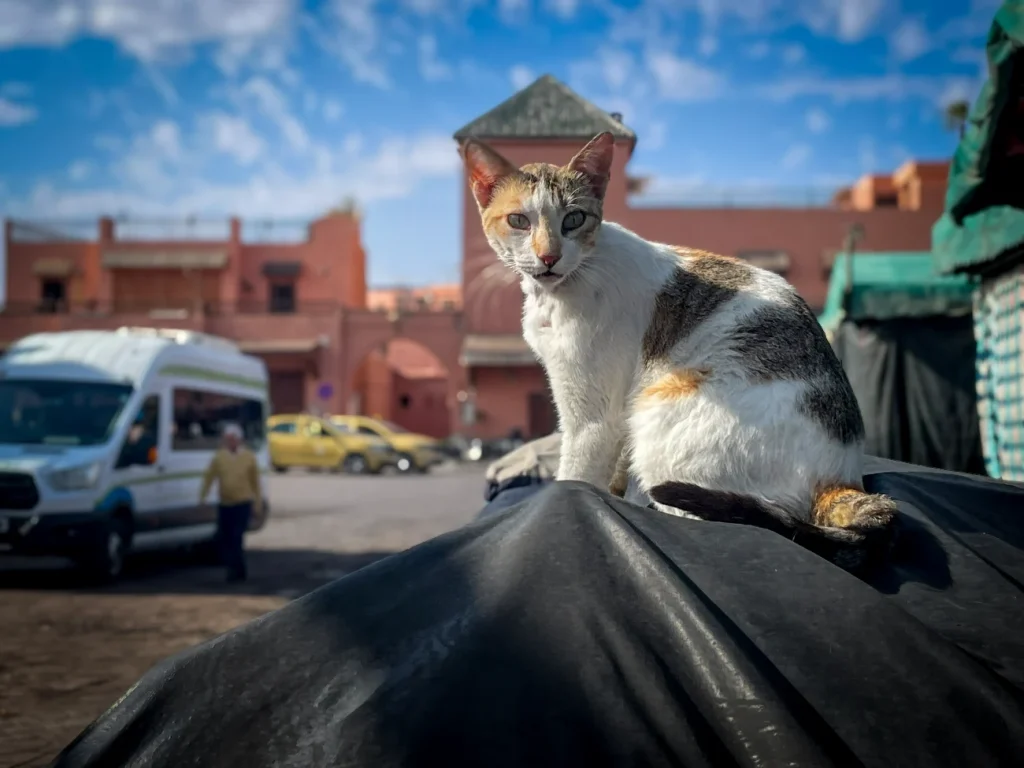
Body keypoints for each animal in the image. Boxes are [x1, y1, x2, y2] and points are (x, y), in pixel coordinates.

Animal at [460, 131, 901, 573]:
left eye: (574, 219)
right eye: (519, 220)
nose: (549, 256)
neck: (560, 290)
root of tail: (842, 477)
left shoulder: (594, 415)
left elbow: (574, 476)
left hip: (662, 409)